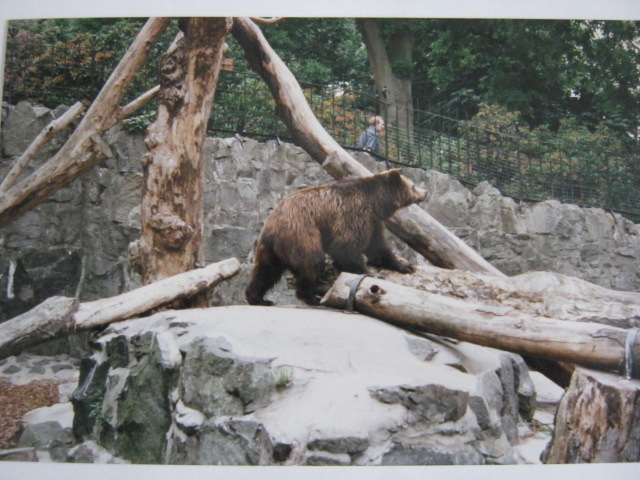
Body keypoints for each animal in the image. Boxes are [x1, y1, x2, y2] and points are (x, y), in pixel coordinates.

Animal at [245, 169, 427, 306]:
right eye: (413, 185)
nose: (425, 192)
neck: (377, 204)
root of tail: (271, 226)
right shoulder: (354, 214)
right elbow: (345, 247)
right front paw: (365, 273)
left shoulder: (373, 221)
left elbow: (378, 248)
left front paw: (405, 265)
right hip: (301, 233)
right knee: (311, 262)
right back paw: (311, 296)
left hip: (270, 248)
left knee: (266, 271)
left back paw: (258, 298)